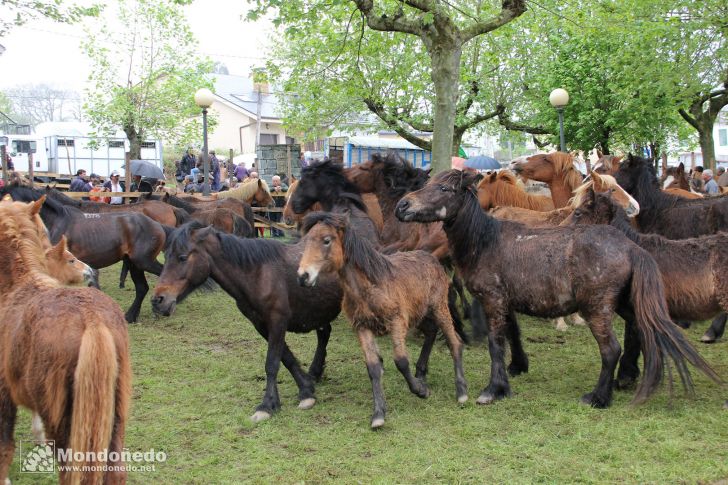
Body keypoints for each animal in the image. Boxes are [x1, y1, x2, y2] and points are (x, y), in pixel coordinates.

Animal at [151, 223, 344, 424]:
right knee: (324, 333)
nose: (158, 300)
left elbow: (272, 363)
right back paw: (315, 372)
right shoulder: (261, 325)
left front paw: (267, 405)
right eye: (166, 256)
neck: (257, 275)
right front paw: (305, 389)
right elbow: (286, 358)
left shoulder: (277, 321)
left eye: (182, 257)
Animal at [298, 212, 470, 428]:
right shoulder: (362, 327)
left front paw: (421, 391)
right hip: (419, 314)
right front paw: (379, 414)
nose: (303, 276)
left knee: (455, 342)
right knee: (431, 332)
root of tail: (431, 258)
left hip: (439, 308)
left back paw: (461, 392)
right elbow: (373, 367)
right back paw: (421, 373)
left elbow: (401, 361)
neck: (371, 286)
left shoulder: (396, 322)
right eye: (306, 240)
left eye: (326, 240)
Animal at [398, 170, 724, 408]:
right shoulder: (507, 303)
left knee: (611, 349)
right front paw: (513, 374)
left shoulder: (493, 301)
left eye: (445, 189)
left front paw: (493, 390)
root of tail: (632, 247)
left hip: (597, 309)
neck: (486, 241)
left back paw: (598, 397)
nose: (403, 206)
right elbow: (511, 337)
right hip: (625, 306)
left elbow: (495, 344)